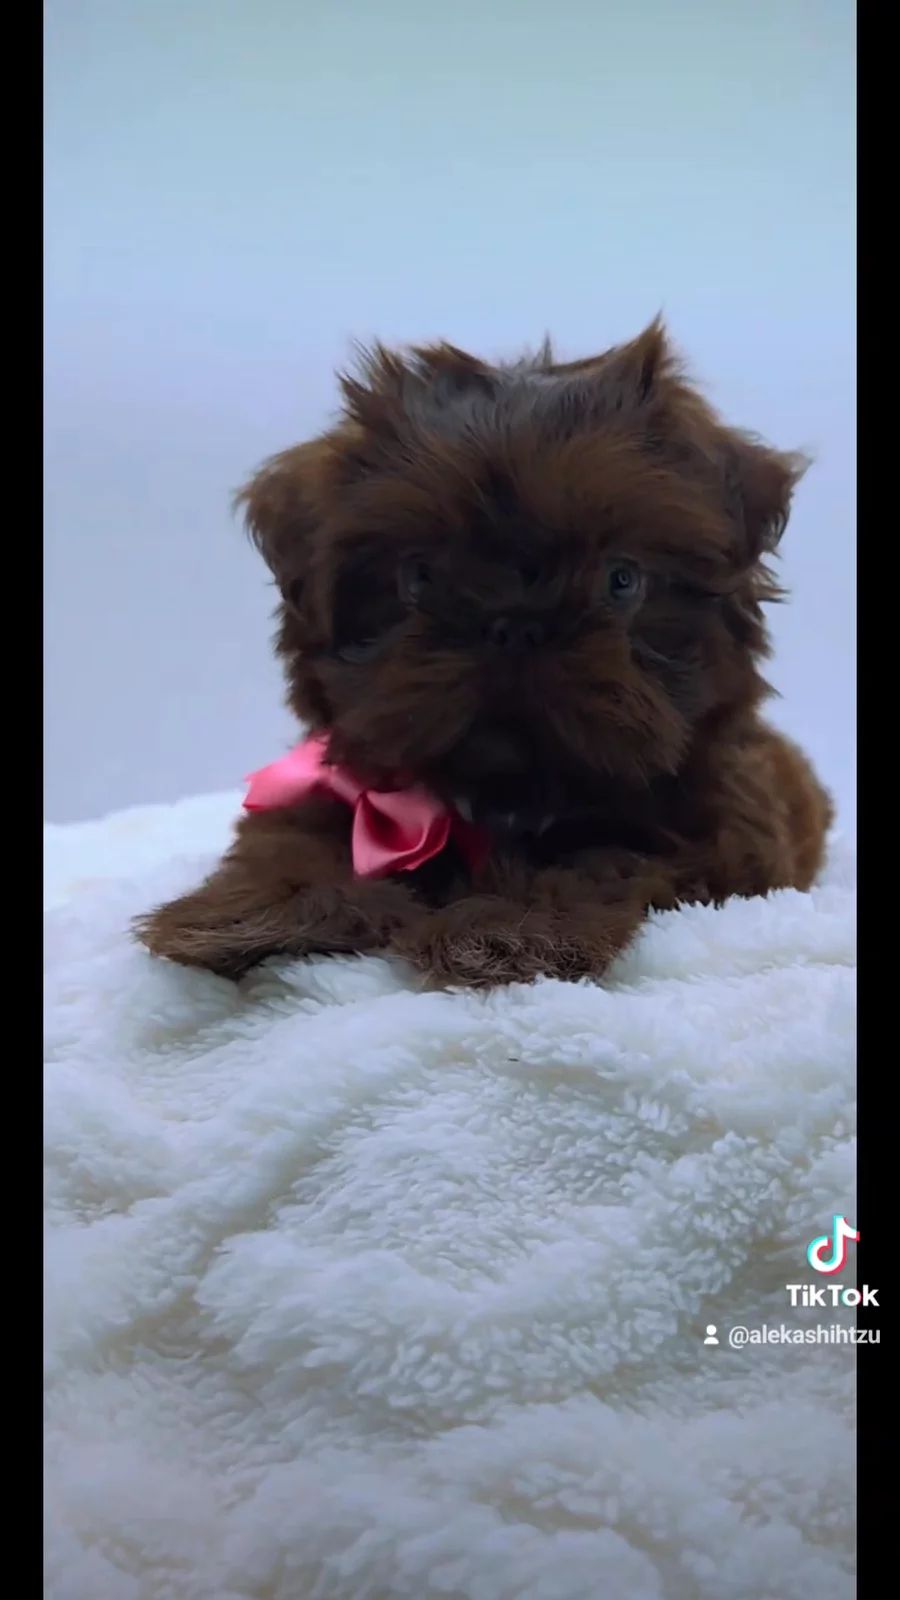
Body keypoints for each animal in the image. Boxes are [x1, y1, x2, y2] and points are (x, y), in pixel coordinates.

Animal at [135, 319, 833, 988]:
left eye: (621, 580)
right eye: (418, 576)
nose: (516, 625)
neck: (502, 798)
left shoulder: (708, 840)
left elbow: (593, 861)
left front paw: (509, 929)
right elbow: (293, 835)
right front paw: (262, 910)